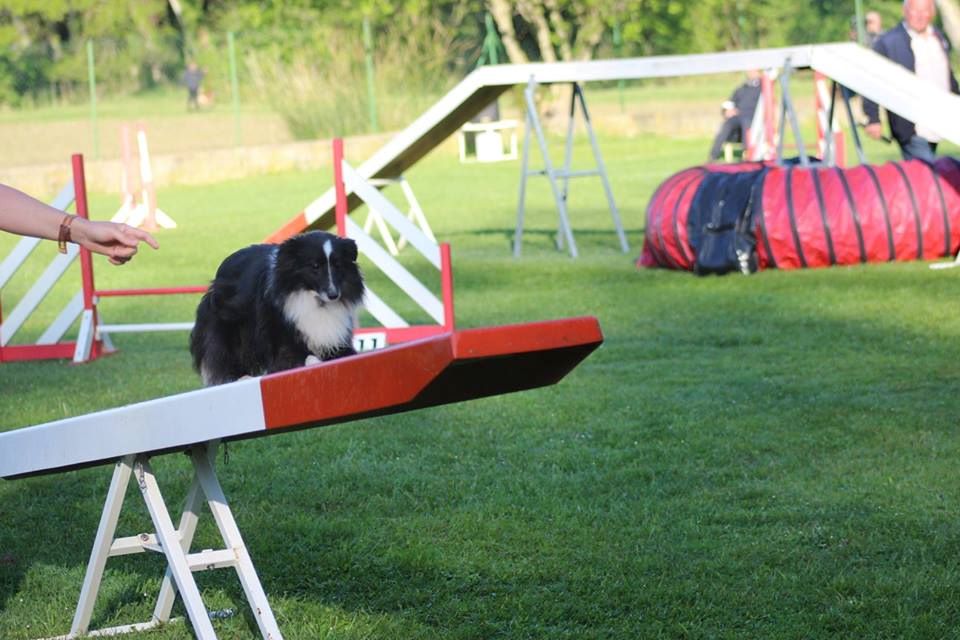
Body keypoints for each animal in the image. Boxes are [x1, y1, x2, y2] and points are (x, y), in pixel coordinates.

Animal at [190, 232, 364, 388]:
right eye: (315, 266)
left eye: (337, 265)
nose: (333, 295)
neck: (313, 299)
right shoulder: (282, 339)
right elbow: (300, 357)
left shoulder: (335, 339)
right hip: (229, 328)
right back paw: (241, 378)